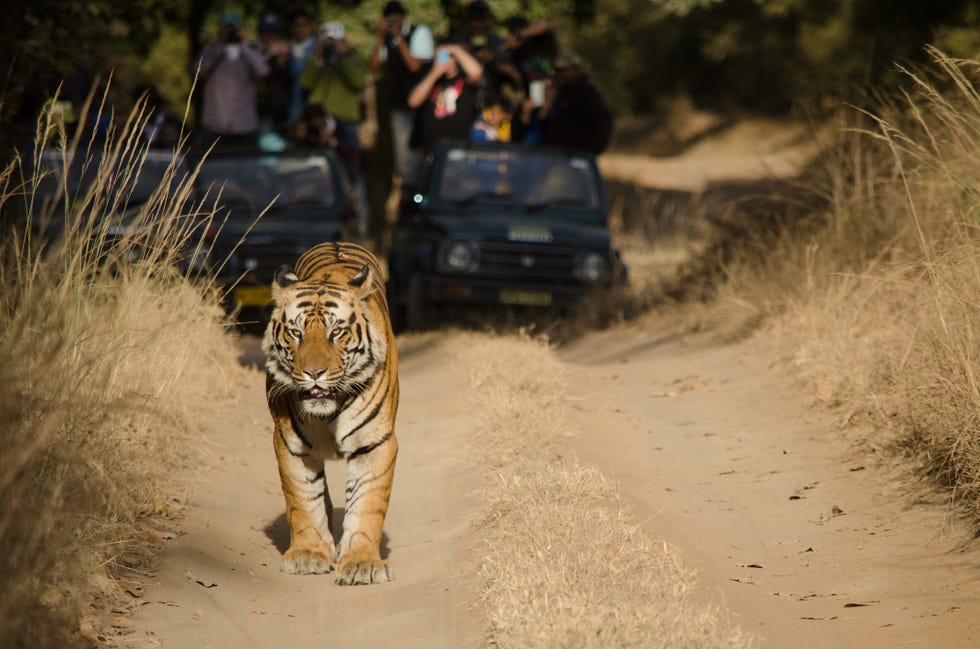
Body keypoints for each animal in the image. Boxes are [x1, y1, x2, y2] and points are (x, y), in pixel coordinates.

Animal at [264, 240, 398, 584]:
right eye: (296, 333)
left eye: (336, 332)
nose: (314, 373)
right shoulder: (290, 443)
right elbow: (302, 499)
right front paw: (308, 554)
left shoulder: (375, 443)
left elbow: (367, 503)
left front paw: (362, 563)